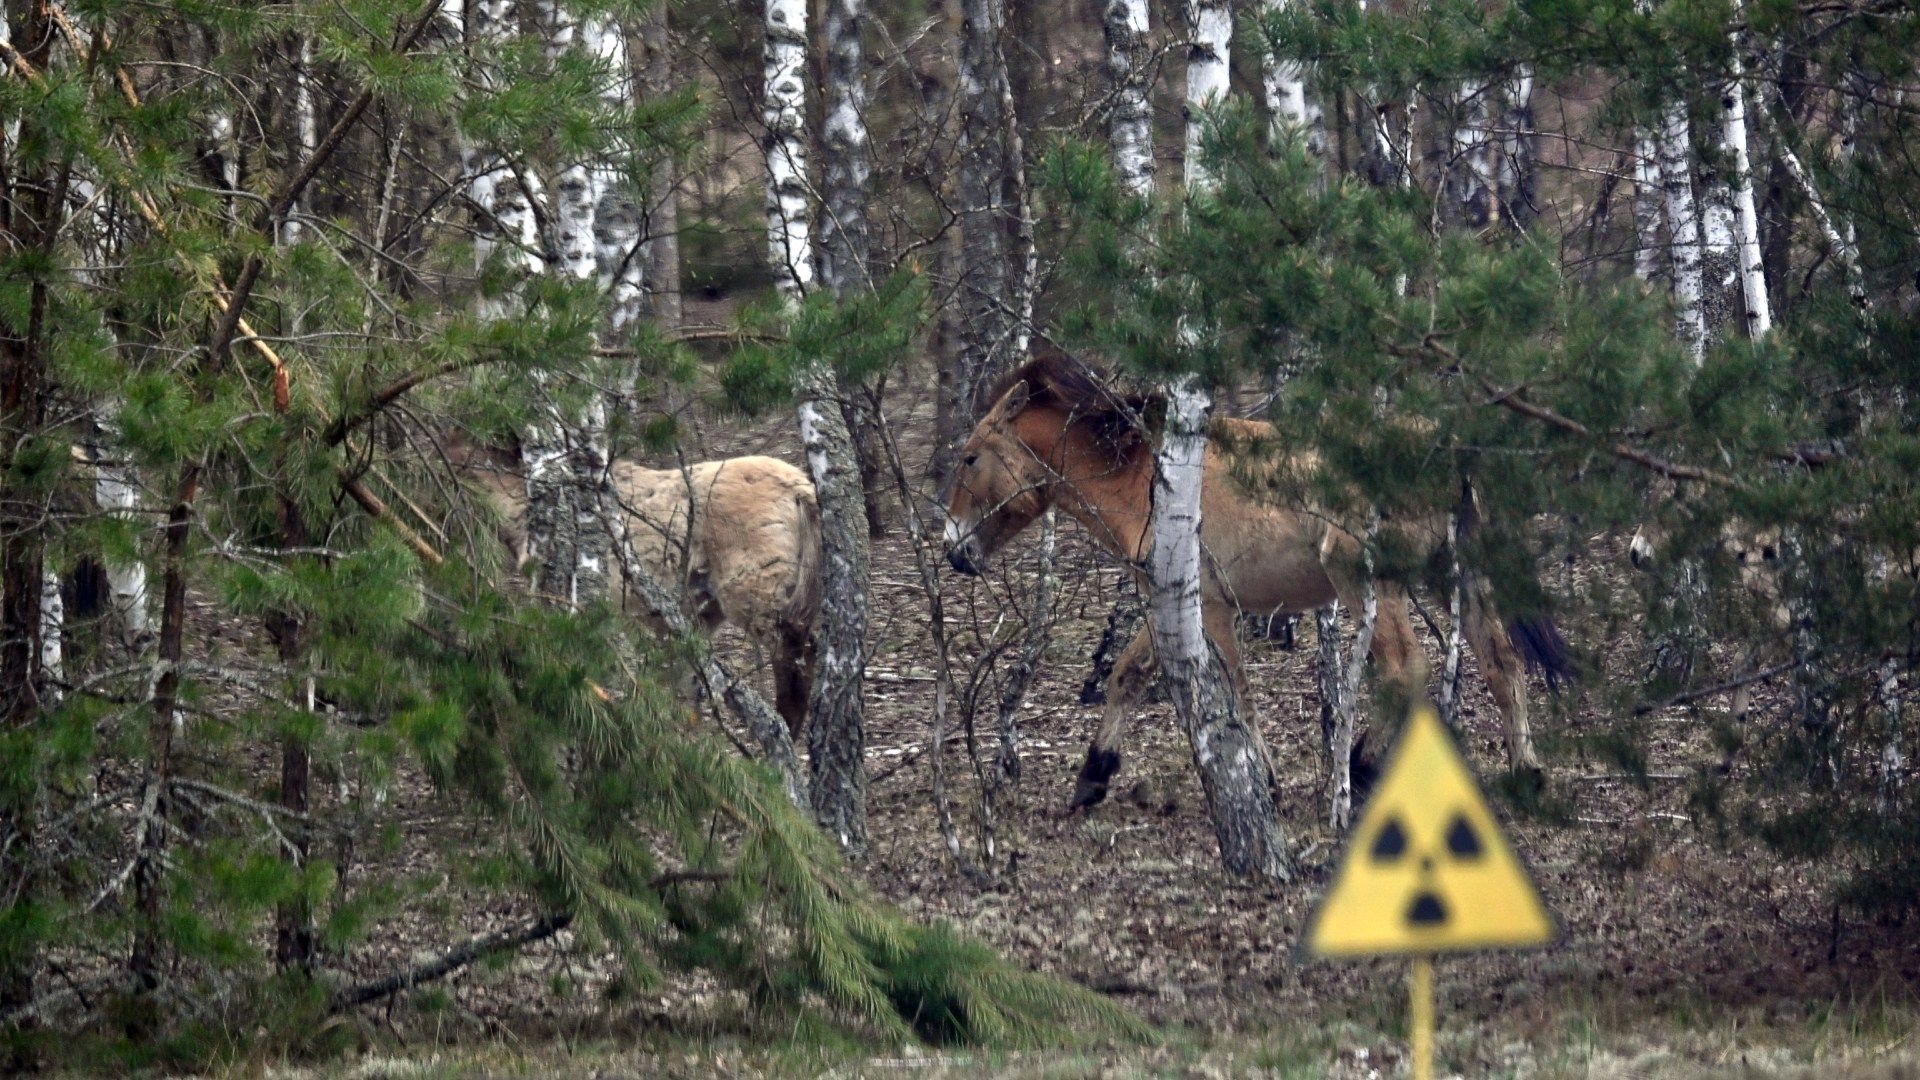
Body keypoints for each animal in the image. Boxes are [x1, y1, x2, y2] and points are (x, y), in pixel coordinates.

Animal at [462, 450, 822, 736]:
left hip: (757, 591)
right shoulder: (690, 621)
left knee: (795, 650)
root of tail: (801, 490)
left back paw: (786, 725)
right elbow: (681, 682)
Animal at [940, 350, 1571, 811]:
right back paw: (1527, 773)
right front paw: (1093, 776)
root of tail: (1443, 448)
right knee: (1502, 662)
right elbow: (1127, 675)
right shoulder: (1166, 602)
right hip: (1459, 578)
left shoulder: (1212, 607)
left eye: (971, 458)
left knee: (1405, 668)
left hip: (1369, 584)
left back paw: (1361, 768)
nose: (952, 550)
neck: (1147, 473)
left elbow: (1238, 695)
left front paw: (1264, 780)